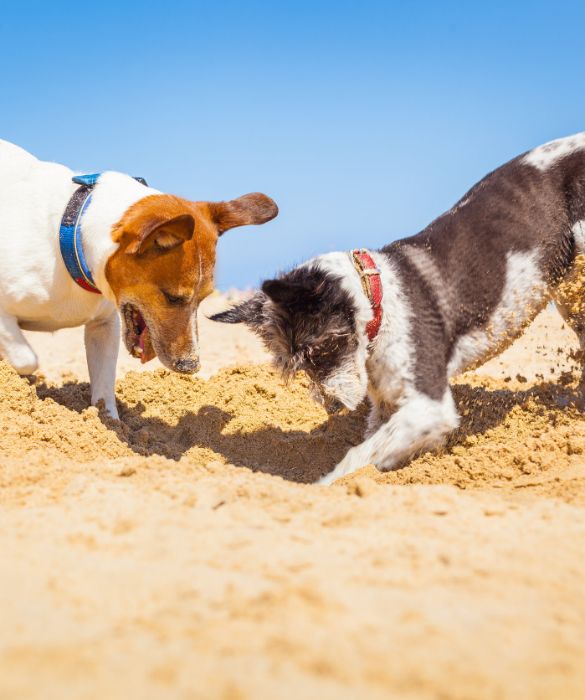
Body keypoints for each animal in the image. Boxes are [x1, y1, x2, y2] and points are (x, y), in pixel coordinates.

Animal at [0, 139, 278, 418]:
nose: (190, 366)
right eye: (172, 297)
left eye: (204, 298)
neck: (70, 237)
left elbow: (104, 387)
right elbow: (27, 360)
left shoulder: (104, 325)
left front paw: (109, 421)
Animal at [212, 130, 584, 482]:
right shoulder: (388, 404)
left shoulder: (430, 405)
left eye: (319, 350)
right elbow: (378, 444)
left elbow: (357, 457)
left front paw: (323, 485)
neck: (379, 299)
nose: (332, 407)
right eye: (296, 365)